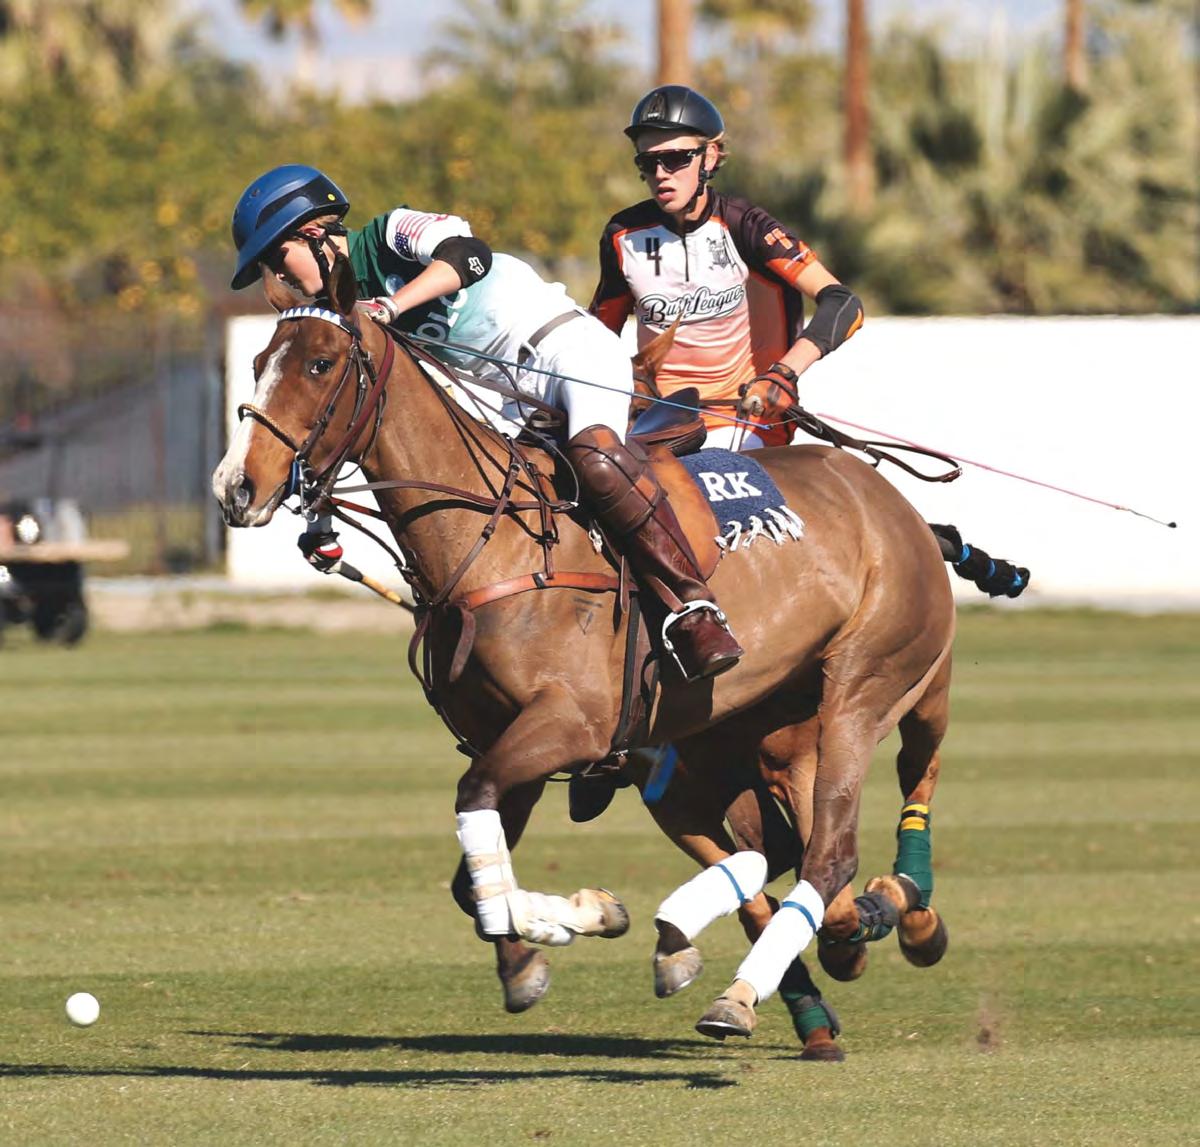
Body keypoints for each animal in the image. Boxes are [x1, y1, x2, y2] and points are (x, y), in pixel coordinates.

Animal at [212, 252, 955, 1047]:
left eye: (320, 363)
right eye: (256, 363)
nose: (236, 487)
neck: (490, 543)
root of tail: (887, 493)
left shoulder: (570, 723)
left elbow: (474, 815)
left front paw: (560, 943)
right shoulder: (509, 739)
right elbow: (473, 873)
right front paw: (569, 929)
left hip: (872, 682)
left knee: (845, 837)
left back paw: (807, 956)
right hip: (750, 734)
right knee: (794, 857)